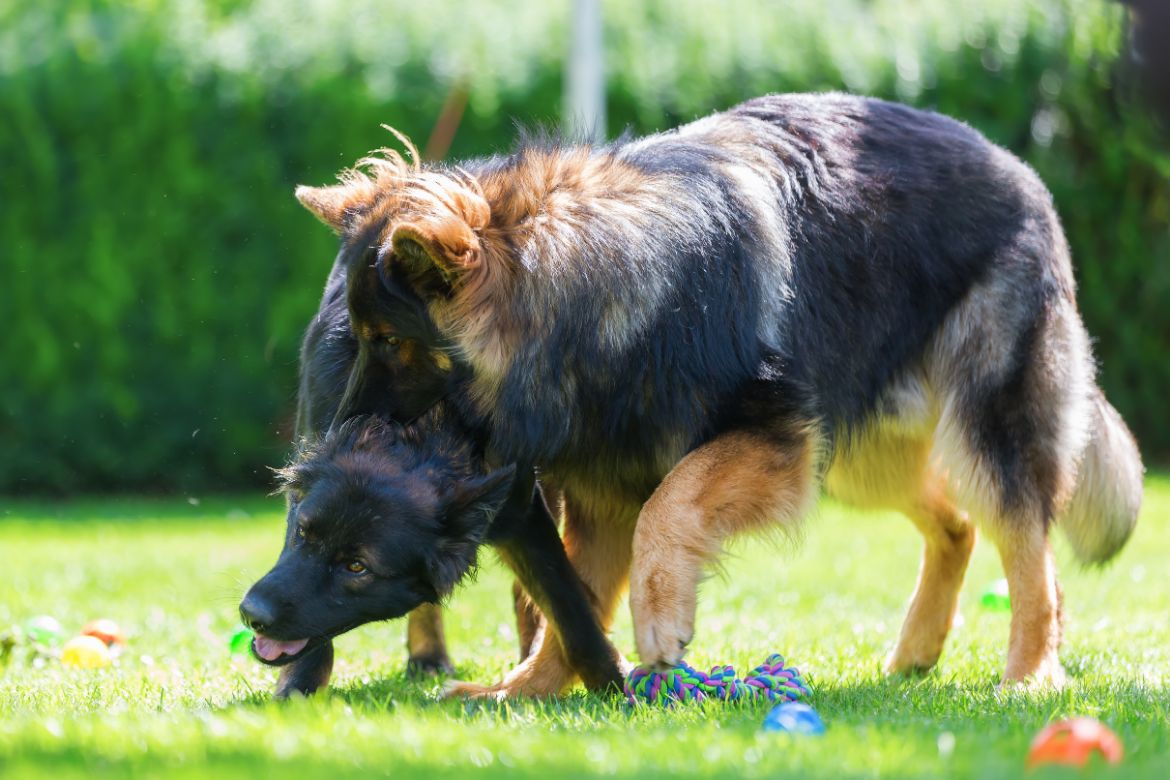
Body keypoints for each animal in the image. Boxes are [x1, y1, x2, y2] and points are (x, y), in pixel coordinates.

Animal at [292, 94, 1141, 696]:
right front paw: (531, 686)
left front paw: (659, 623)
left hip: (981, 429)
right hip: (859, 456)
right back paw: (918, 650)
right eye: (354, 336)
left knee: (1028, 549)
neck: (596, 294)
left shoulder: (769, 438)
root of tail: (1021, 170)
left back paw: (1030, 674)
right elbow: (572, 594)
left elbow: (669, 509)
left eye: (388, 340)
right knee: (958, 526)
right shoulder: (604, 483)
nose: (324, 446)